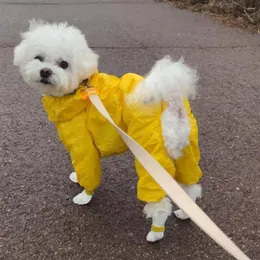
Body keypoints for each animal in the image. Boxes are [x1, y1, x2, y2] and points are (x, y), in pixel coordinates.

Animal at [12, 19, 203, 242]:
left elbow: (88, 172)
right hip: (186, 153)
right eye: (39, 58)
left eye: (64, 64)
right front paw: (77, 178)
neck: (79, 90)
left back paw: (156, 232)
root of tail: (171, 101)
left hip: (152, 153)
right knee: (191, 186)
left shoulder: (82, 146)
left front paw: (84, 196)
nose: (45, 71)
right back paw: (186, 213)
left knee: (161, 204)